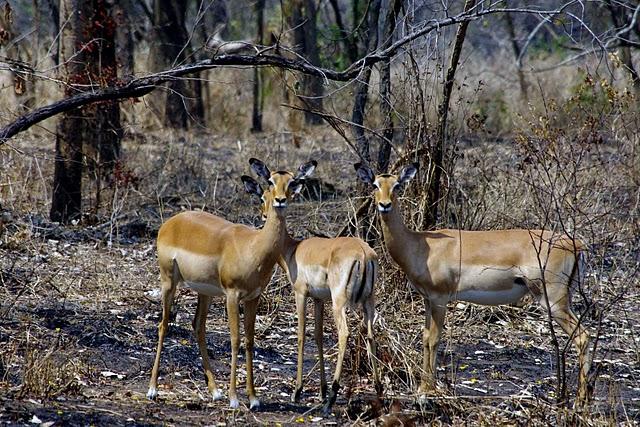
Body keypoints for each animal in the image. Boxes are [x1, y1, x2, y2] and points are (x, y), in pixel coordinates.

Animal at [146, 158, 316, 412]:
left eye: (292, 182)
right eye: (269, 182)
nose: (280, 200)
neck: (254, 247)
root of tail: (171, 221)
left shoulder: (253, 297)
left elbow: (249, 341)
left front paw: (253, 398)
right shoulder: (232, 295)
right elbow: (235, 340)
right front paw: (234, 398)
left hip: (205, 292)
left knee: (198, 326)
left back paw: (215, 391)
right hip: (168, 281)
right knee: (163, 325)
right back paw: (153, 389)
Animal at [352, 162, 592, 406]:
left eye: (397, 185)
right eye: (375, 184)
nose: (384, 205)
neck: (419, 245)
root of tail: (576, 244)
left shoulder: (440, 299)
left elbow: (434, 339)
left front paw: (428, 391)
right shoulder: (428, 299)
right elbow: (425, 337)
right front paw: (421, 388)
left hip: (552, 300)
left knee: (583, 336)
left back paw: (579, 402)